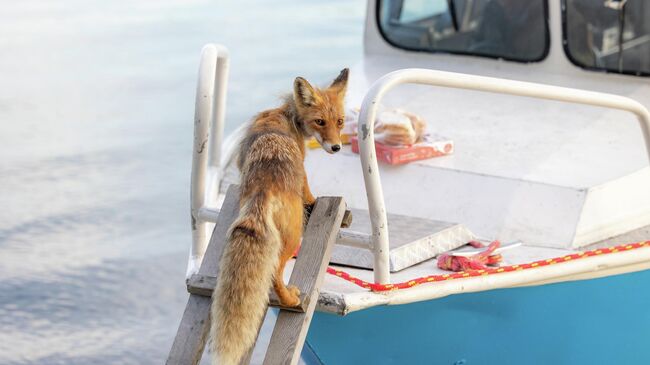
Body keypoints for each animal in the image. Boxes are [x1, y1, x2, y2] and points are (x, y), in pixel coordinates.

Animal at [210, 69, 346, 364]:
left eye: (340, 121)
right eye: (320, 122)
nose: (337, 148)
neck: (286, 116)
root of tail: (264, 189)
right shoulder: (303, 171)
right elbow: (309, 191)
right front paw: (314, 201)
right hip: (293, 236)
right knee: (274, 274)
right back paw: (291, 300)